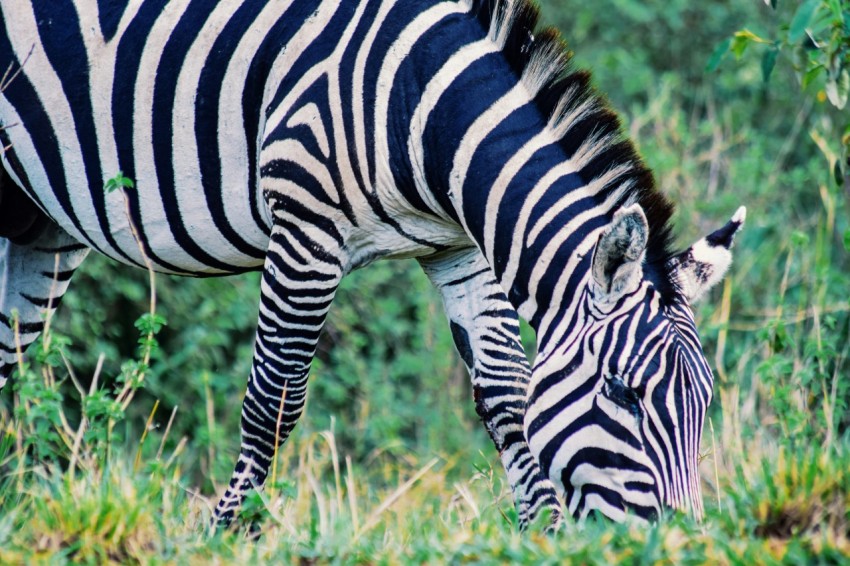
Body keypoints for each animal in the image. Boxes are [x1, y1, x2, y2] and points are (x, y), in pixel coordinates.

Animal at [0, 0, 744, 528]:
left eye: (706, 403)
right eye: (623, 393)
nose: (677, 544)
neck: (418, 106)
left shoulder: (459, 250)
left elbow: (506, 396)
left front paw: (544, 534)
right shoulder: (306, 230)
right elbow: (274, 399)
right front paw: (229, 533)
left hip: (40, 223)